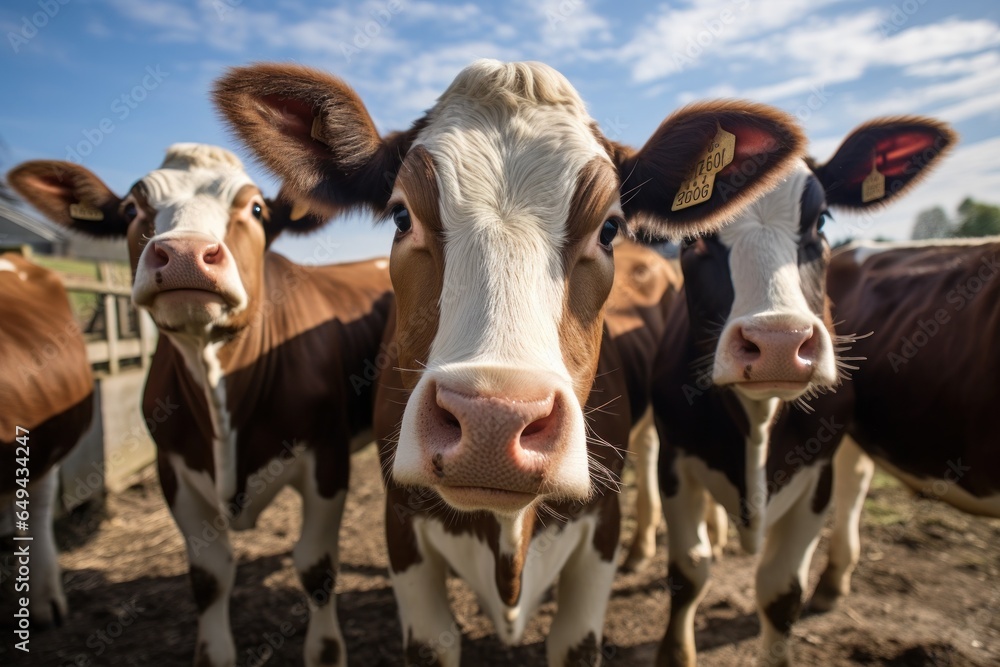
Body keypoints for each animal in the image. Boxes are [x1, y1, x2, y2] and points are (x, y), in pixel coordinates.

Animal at [10, 146, 398, 667]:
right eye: (131, 210)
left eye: (256, 208)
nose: (185, 256)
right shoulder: (172, 468)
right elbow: (209, 577)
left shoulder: (328, 458)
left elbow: (316, 569)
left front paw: (326, 650)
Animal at [644, 117, 956, 664]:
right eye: (693, 235)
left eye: (822, 221)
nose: (779, 342)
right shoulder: (674, 458)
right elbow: (688, 573)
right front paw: (675, 652)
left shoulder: (819, 471)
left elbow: (780, 592)